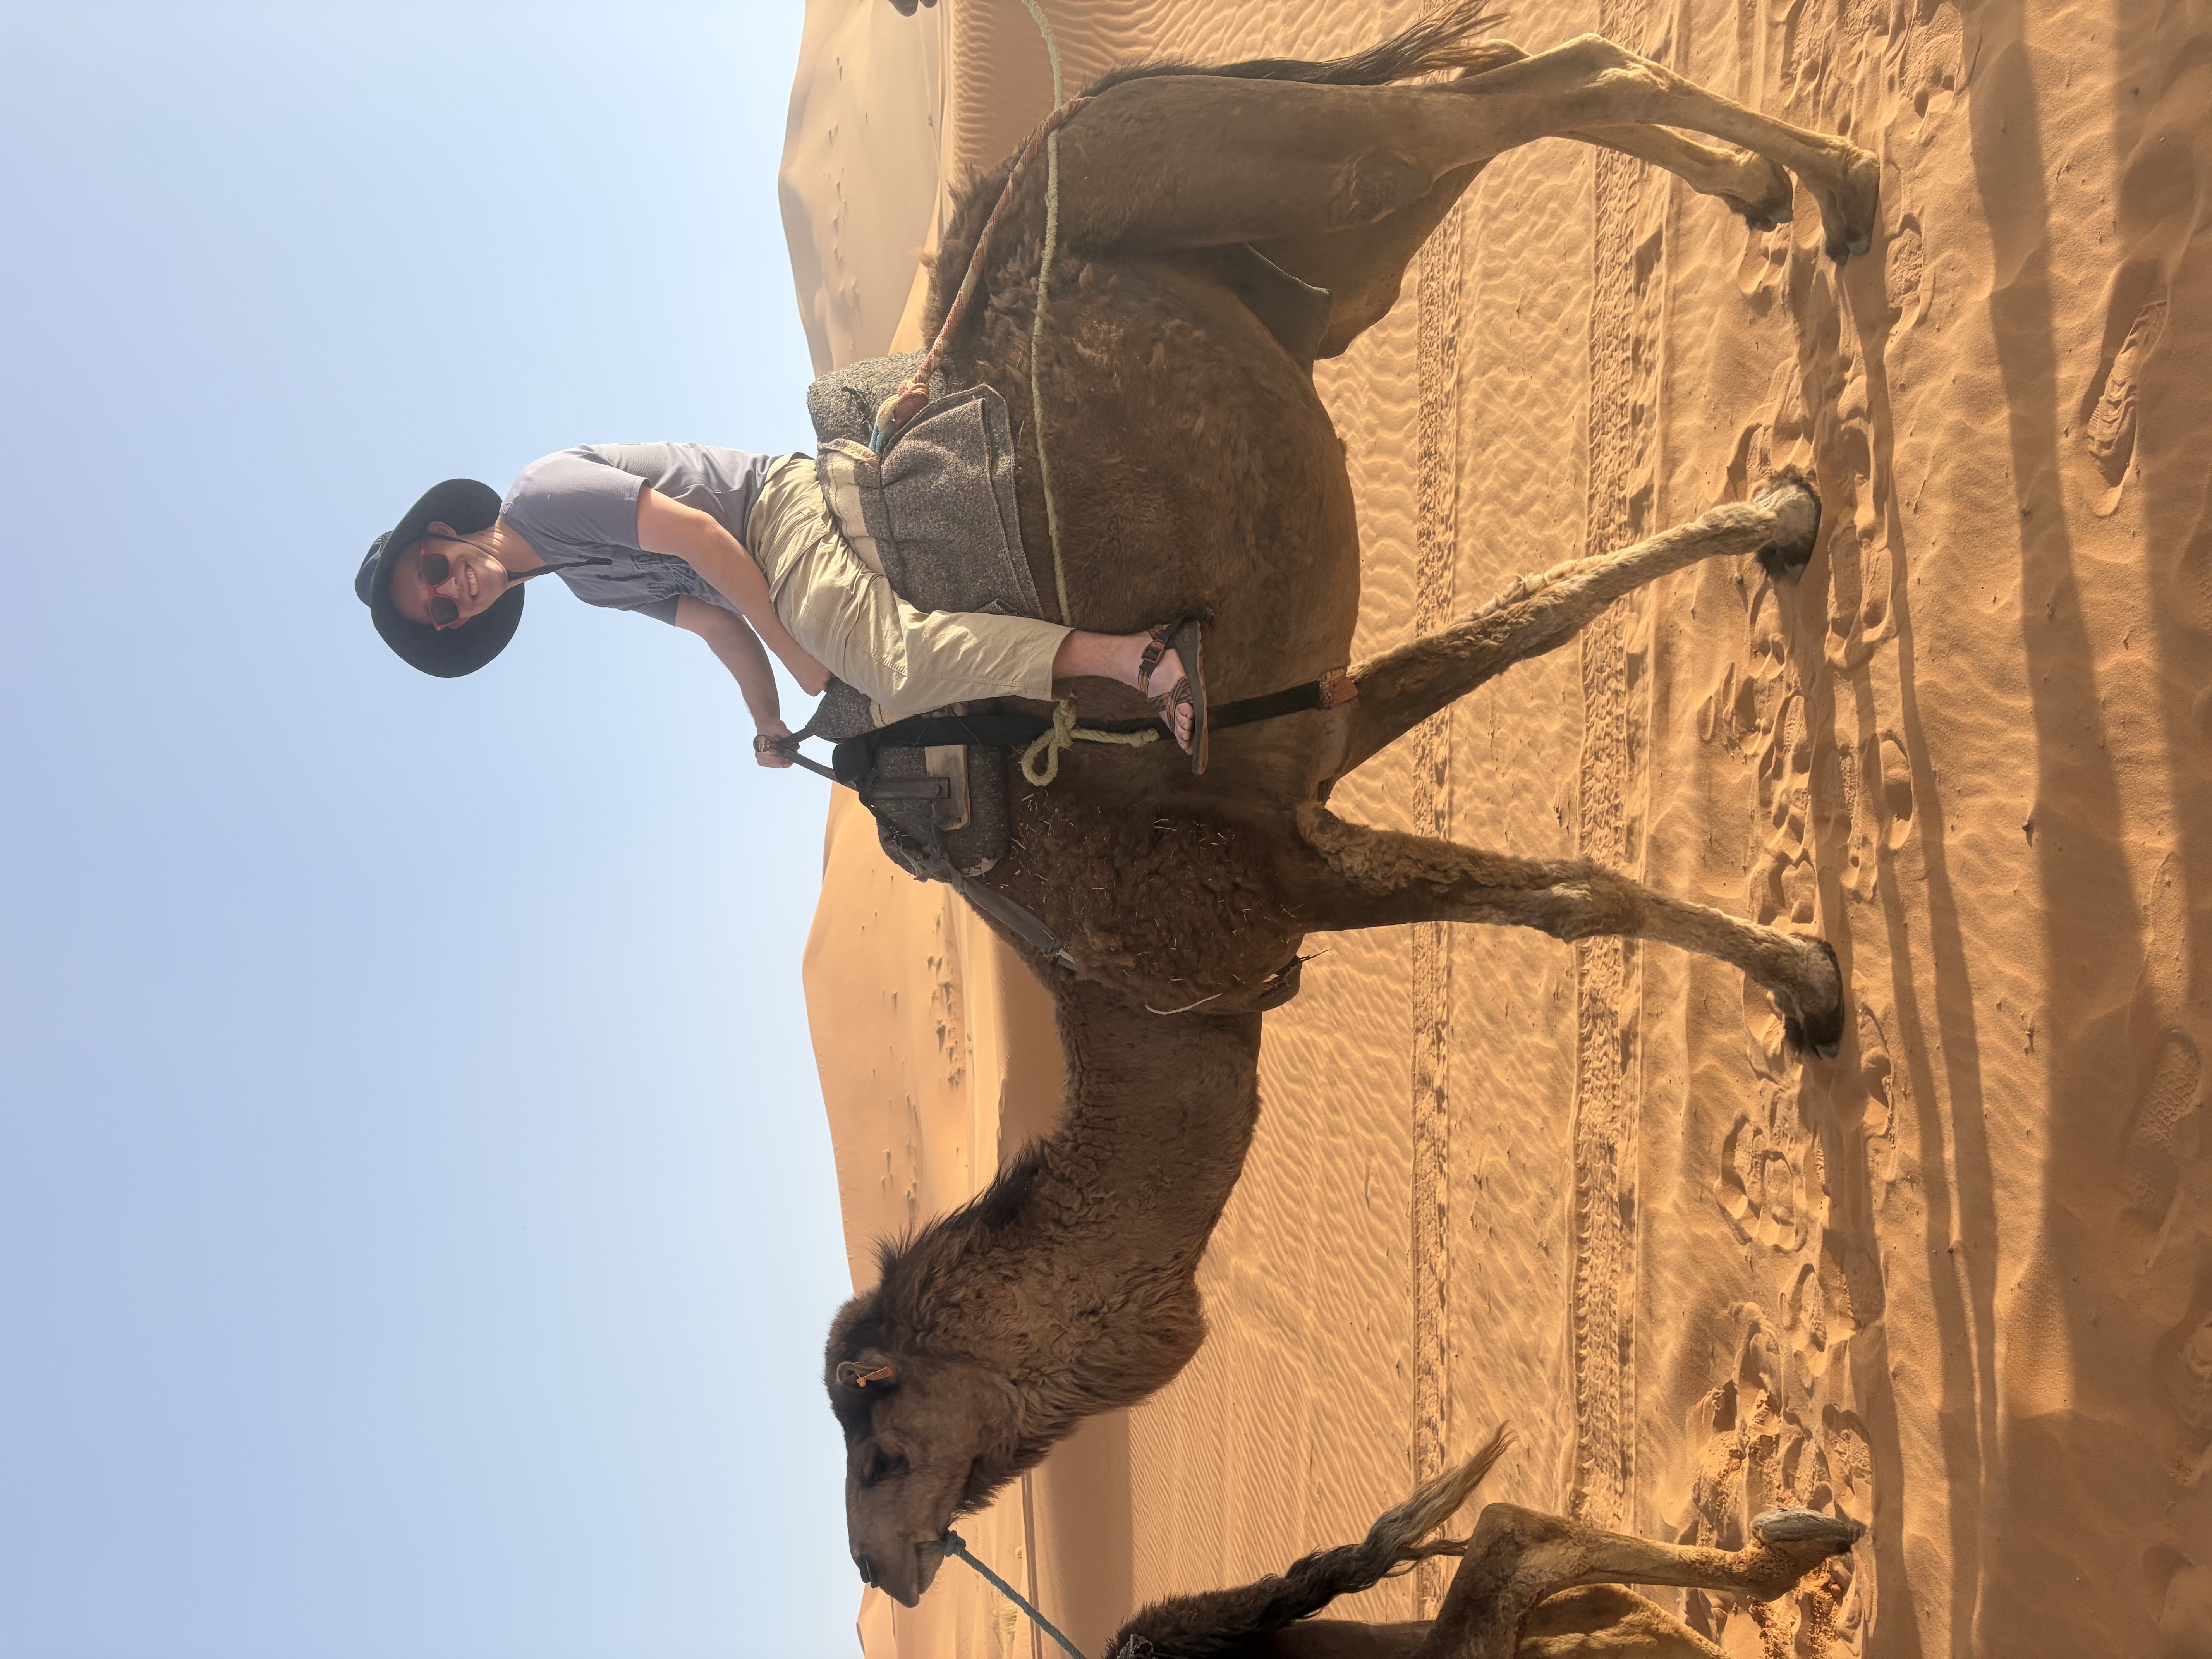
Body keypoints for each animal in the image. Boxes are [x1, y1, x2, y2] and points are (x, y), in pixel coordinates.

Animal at [827, 6, 1881, 1606]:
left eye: (880, 1446)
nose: (883, 1567)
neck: (1134, 1000)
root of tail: (1094, 112)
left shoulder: (1272, 878)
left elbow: (1571, 894)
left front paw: (1812, 980)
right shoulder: (1312, 742)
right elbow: (1523, 620)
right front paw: (1778, 512)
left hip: (1312, 173)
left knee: (1530, 86)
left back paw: (1834, 184)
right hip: (1319, 240)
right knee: (1498, 86)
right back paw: (1774, 194)